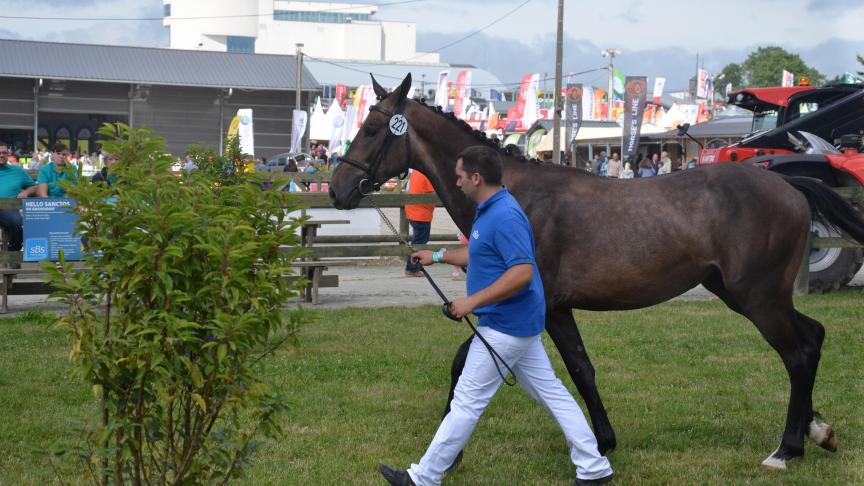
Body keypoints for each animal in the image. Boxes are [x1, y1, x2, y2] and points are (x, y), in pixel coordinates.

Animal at [326, 73, 864, 470]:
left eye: (371, 129)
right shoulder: (552, 310)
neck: (517, 194)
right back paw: (817, 431)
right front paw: (603, 440)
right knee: (812, 337)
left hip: (758, 297)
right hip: (746, 293)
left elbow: (474, 362)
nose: (337, 188)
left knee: (797, 352)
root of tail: (789, 185)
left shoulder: (534, 305)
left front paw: (452, 453)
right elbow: (580, 369)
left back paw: (787, 449)